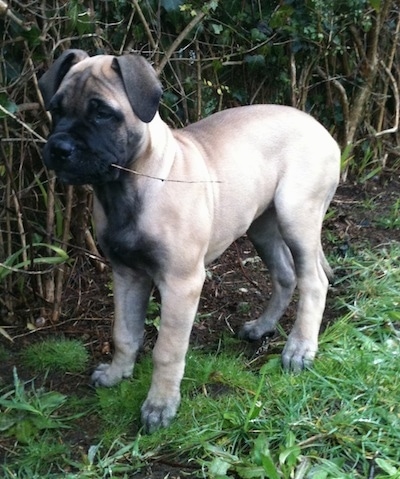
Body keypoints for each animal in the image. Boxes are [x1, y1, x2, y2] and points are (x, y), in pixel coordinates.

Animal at [39, 50, 340, 434]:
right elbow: (124, 333)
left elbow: (166, 351)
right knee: (285, 274)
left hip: (296, 215)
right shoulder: (126, 274)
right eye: (56, 109)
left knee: (313, 280)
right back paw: (262, 327)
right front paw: (117, 374)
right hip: (261, 225)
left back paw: (299, 349)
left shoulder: (181, 283)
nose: (58, 148)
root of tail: (320, 127)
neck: (127, 187)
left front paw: (160, 406)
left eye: (102, 112)